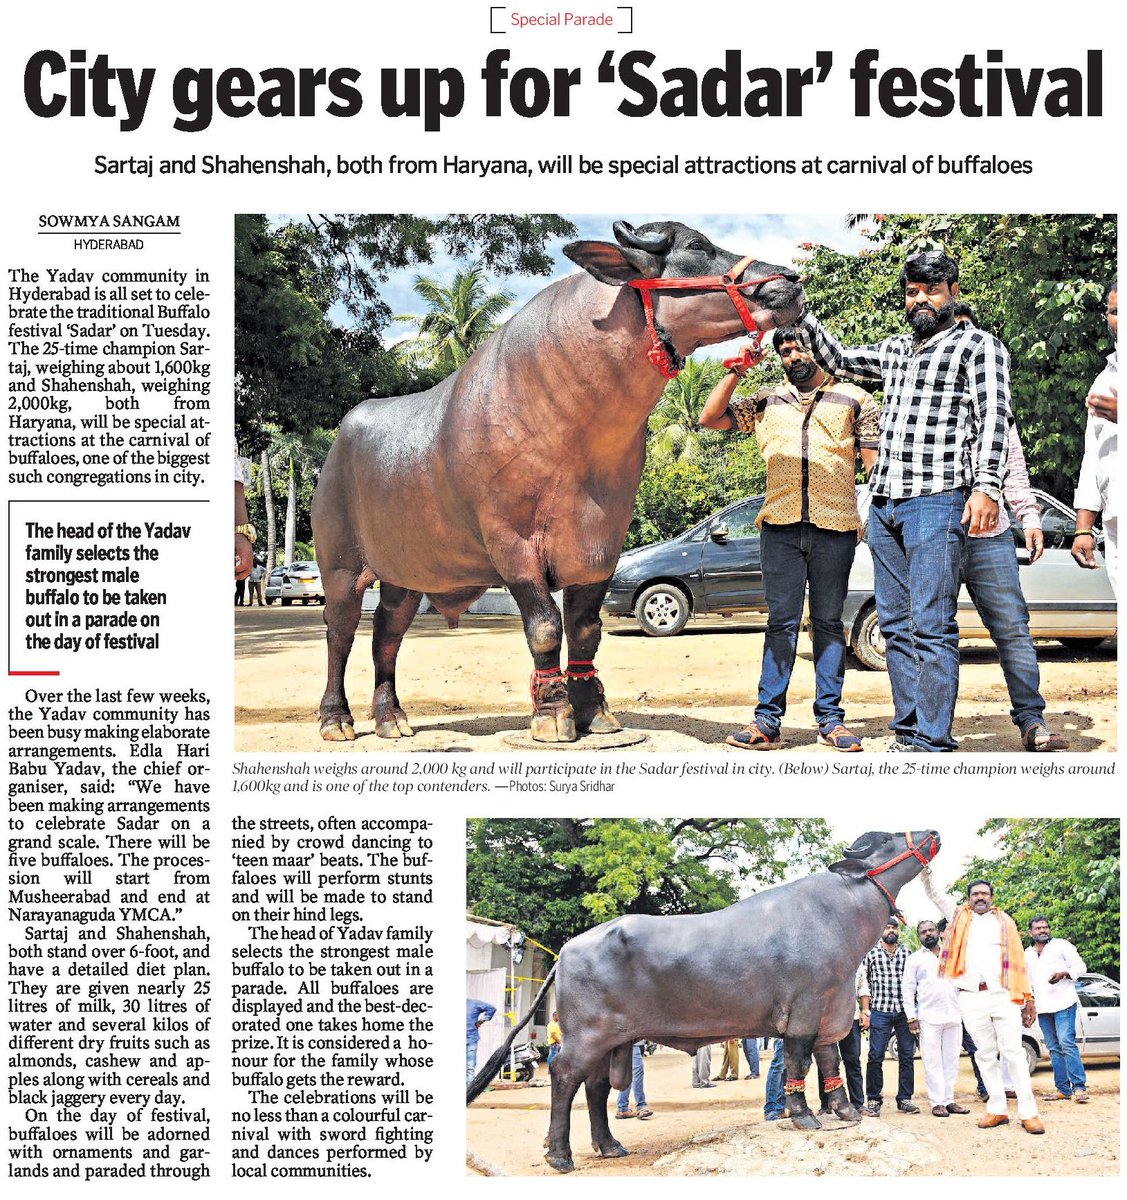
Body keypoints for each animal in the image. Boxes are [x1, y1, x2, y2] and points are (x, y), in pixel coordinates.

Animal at [309, 219, 801, 734]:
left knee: (387, 631)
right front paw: (552, 713)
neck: (572, 434)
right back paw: (336, 719)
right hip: (340, 566)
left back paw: (391, 717)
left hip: (405, 572)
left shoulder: (601, 545)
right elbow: (544, 626)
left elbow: (585, 629)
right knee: (340, 630)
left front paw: (595, 711)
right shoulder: (512, 543)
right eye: (697, 246)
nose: (791, 280)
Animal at [468, 830, 940, 1176]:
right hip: (585, 1036)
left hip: (610, 1041)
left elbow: (829, 1061)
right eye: (885, 840)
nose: (931, 833)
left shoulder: (832, 1009)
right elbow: (799, 1062)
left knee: (597, 1087)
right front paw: (804, 1115)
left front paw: (845, 1111)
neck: (839, 916)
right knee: (565, 1077)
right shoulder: (803, 1012)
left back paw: (610, 1145)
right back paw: (560, 1155)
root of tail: (566, 949)